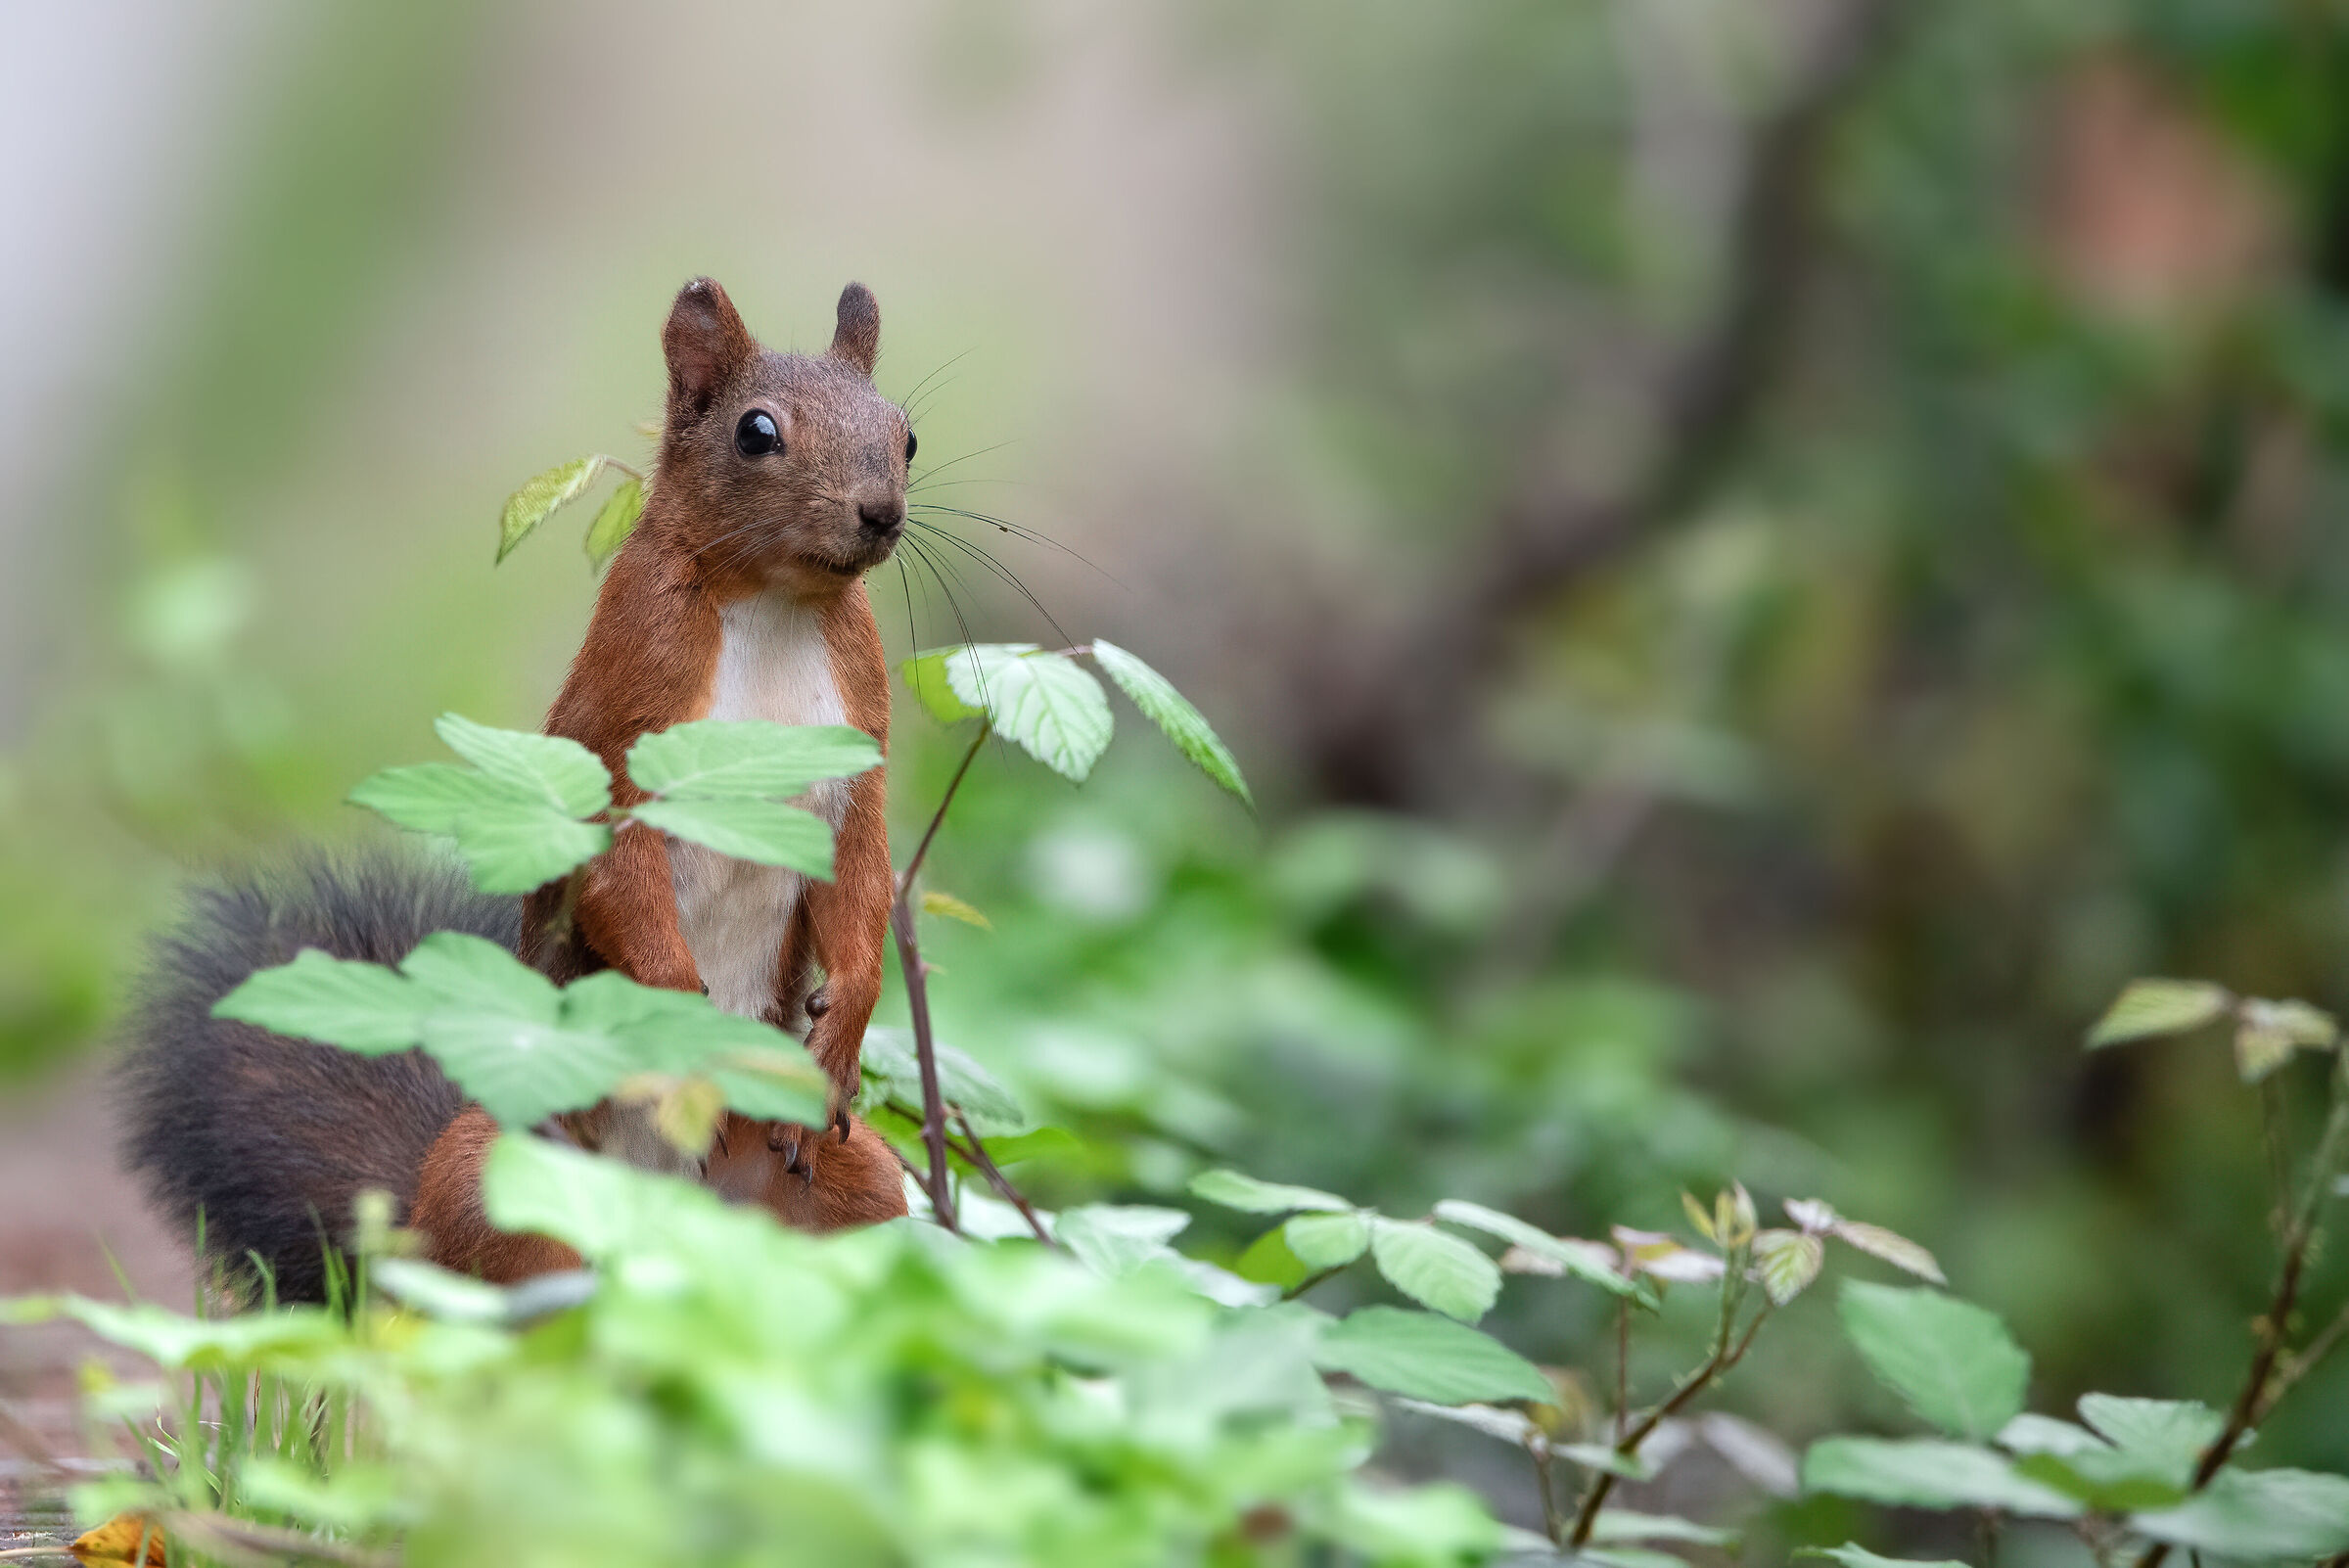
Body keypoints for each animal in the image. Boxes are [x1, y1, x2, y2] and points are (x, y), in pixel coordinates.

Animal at [117, 279, 917, 1298]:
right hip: (491, 1176)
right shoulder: (626, 713)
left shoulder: (857, 757)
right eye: (757, 432)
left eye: (907, 435)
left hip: (854, 1186)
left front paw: (839, 1032)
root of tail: (660, 1229)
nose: (880, 511)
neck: (776, 603)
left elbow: (860, 884)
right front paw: (685, 1028)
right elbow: (619, 876)